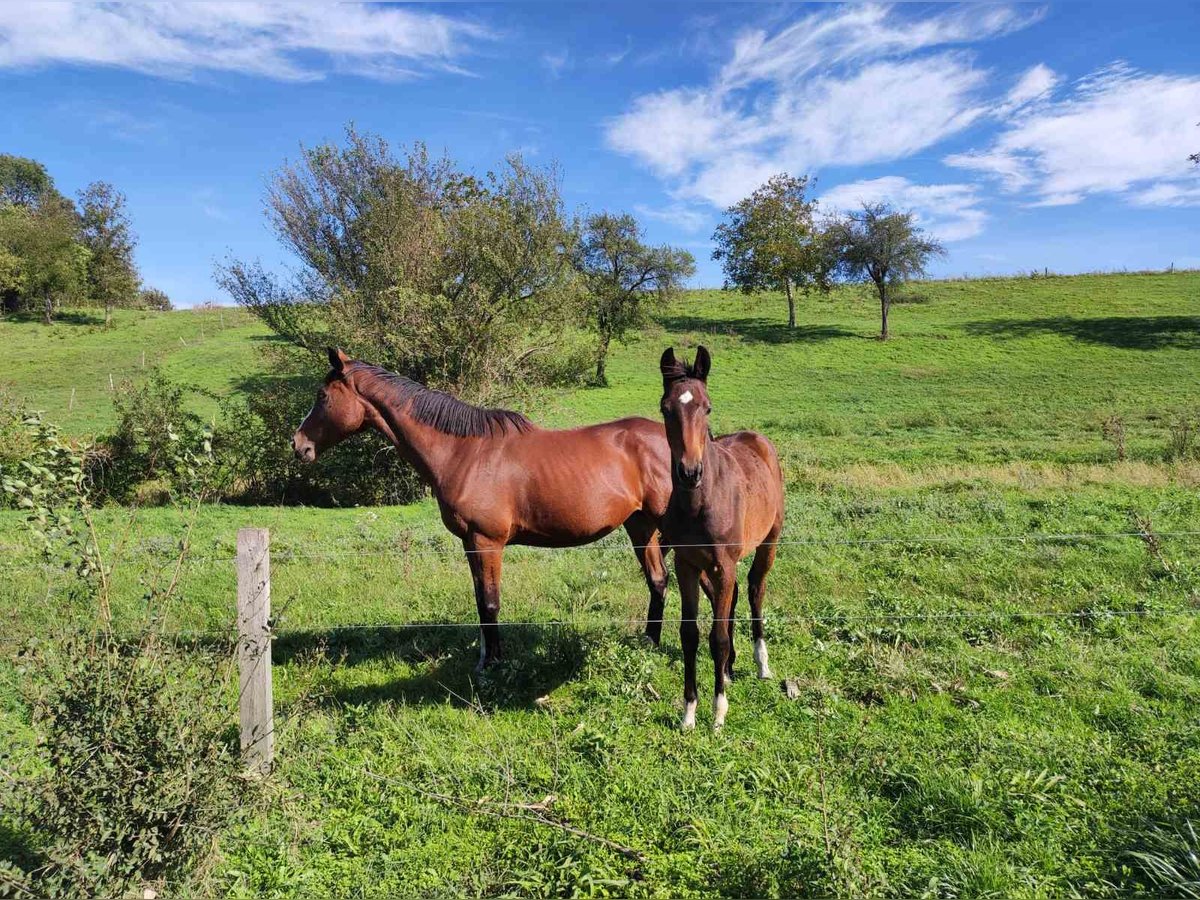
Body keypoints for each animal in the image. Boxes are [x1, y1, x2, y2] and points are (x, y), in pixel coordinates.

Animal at [290, 348, 676, 672]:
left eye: (322, 396)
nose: (298, 445)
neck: (463, 452)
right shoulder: (470, 543)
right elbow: (480, 600)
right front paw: (486, 658)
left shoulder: (486, 541)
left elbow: (491, 602)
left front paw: (493, 666)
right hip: (640, 526)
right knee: (657, 580)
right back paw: (649, 643)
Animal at [657, 345, 787, 734]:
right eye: (666, 408)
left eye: (708, 407)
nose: (690, 472)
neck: (700, 502)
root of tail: (757, 439)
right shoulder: (686, 564)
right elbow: (690, 635)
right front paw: (688, 712)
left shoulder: (723, 565)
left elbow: (717, 637)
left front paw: (718, 712)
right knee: (730, 601)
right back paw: (729, 668)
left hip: (768, 543)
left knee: (755, 589)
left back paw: (761, 664)